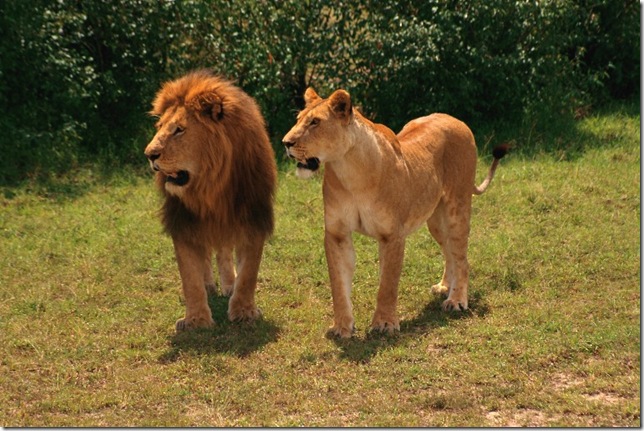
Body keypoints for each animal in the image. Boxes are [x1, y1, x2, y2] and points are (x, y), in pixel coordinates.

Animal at [144, 70, 277, 331]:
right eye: (160, 127)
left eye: (179, 130)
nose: (149, 155)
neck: (211, 188)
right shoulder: (183, 222)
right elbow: (189, 276)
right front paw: (196, 319)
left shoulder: (253, 218)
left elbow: (249, 273)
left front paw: (244, 311)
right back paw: (209, 285)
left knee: (223, 251)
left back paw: (228, 284)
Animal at [282, 87, 508, 338]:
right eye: (298, 119)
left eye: (315, 122)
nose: (285, 143)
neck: (350, 172)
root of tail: (455, 119)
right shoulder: (336, 234)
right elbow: (338, 285)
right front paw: (342, 327)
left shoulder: (392, 235)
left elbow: (387, 284)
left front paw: (384, 324)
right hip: (435, 220)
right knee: (449, 251)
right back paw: (444, 287)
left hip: (457, 208)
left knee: (462, 259)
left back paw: (456, 300)